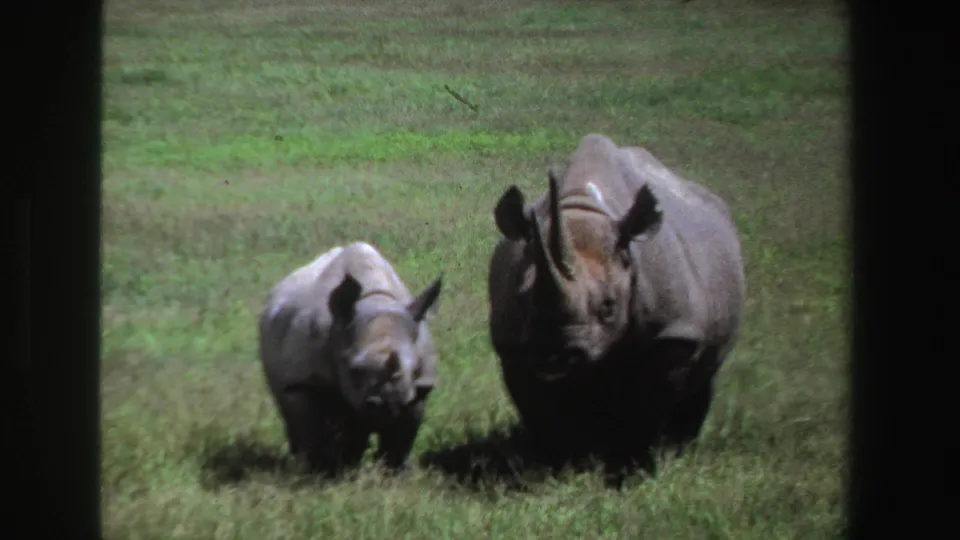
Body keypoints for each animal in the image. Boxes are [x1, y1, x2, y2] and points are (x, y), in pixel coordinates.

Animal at [258, 242, 443, 475]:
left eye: (416, 368)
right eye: (354, 370)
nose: (389, 404)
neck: (376, 301)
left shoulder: (419, 389)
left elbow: (401, 438)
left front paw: (394, 474)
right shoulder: (303, 380)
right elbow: (310, 428)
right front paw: (319, 472)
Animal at [488, 134, 745, 471]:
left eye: (609, 307)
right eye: (523, 300)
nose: (555, 355)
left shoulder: (673, 334)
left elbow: (648, 404)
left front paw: (633, 465)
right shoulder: (513, 345)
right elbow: (539, 409)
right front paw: (559, 463)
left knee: (704, 377)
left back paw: (680, 450)